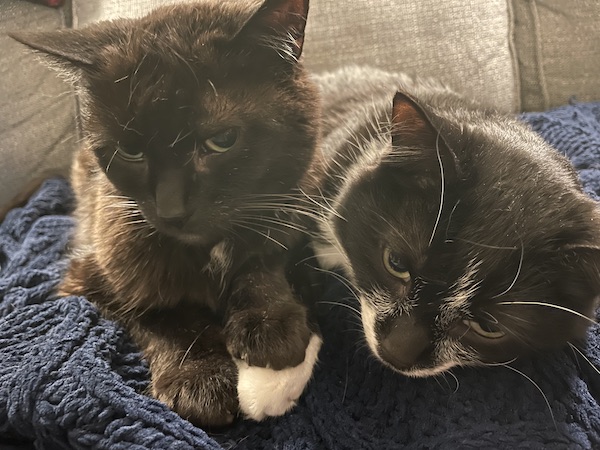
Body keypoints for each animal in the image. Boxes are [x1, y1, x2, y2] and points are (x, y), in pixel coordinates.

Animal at [10, 0, 324, 428]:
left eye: (222, 140)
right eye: (130, 151)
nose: (171, 210)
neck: (209, 249)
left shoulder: (290, 210)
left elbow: (264, 261)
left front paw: (269, 322)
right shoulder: (92, 276)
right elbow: (163, 314)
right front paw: (198, 378)